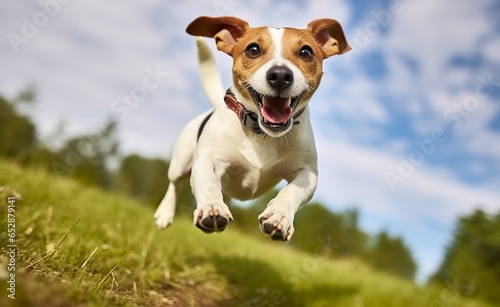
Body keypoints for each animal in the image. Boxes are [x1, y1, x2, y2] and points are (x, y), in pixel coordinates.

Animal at [154, 15, 350, 242]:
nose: (280, 75)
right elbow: (208, 183)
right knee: (174, 185)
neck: (263, 134)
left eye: (306, 52)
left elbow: (291, 191)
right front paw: (212, 207)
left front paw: (279, 216)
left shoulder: (308, 173)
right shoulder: (208, 159)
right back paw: (165, 212)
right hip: (180, 162)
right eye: (253, 49)